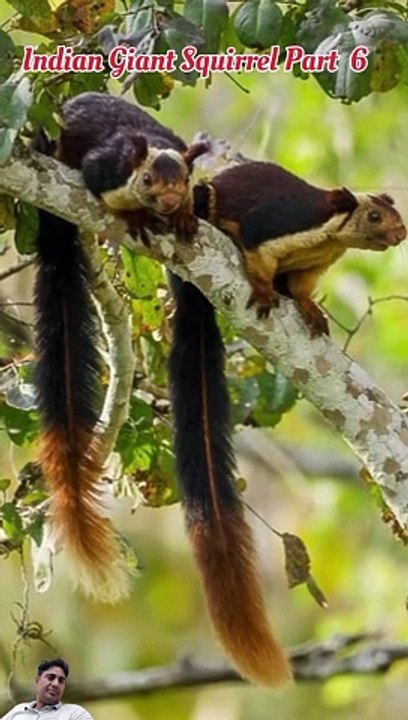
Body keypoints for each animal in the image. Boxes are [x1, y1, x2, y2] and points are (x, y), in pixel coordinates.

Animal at [194, 161, 406, 334]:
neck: (329, 241)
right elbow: (258, 254)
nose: (402, 234)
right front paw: (263, 292)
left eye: (396, 212)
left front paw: (310, 307)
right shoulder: (274, 223)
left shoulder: (313, 266)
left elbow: (301, 287)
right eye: (374, 216)